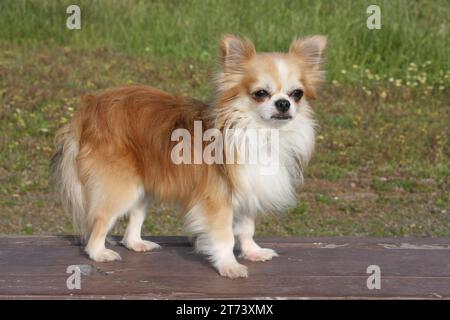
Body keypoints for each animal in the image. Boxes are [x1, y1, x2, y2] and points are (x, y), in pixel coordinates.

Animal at [51, 34, 326, 278]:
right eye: (260, 93)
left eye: (297, 94)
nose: (283, 104)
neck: (261, 133)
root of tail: (88, 108)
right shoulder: (217, 199)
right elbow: (225, 236)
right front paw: (229, 266)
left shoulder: (248, 189)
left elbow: (247, 228)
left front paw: (252, 252)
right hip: (121, 186)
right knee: (99, 223)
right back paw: (99, 253)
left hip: (143, 185)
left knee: (134, 220)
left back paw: (137, 243)